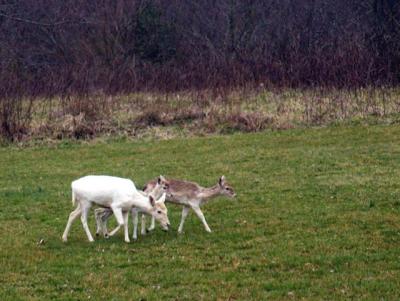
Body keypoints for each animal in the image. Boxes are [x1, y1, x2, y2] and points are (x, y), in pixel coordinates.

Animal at [95, 175, 236, 236]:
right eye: (227, 188)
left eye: (230, 185)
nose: (235, 194)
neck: (201, 195)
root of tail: (145, 186)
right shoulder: (194, 203)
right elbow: (201, 216)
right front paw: (209, 230)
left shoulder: (186, 205)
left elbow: (184, 216)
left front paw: (179, 230)